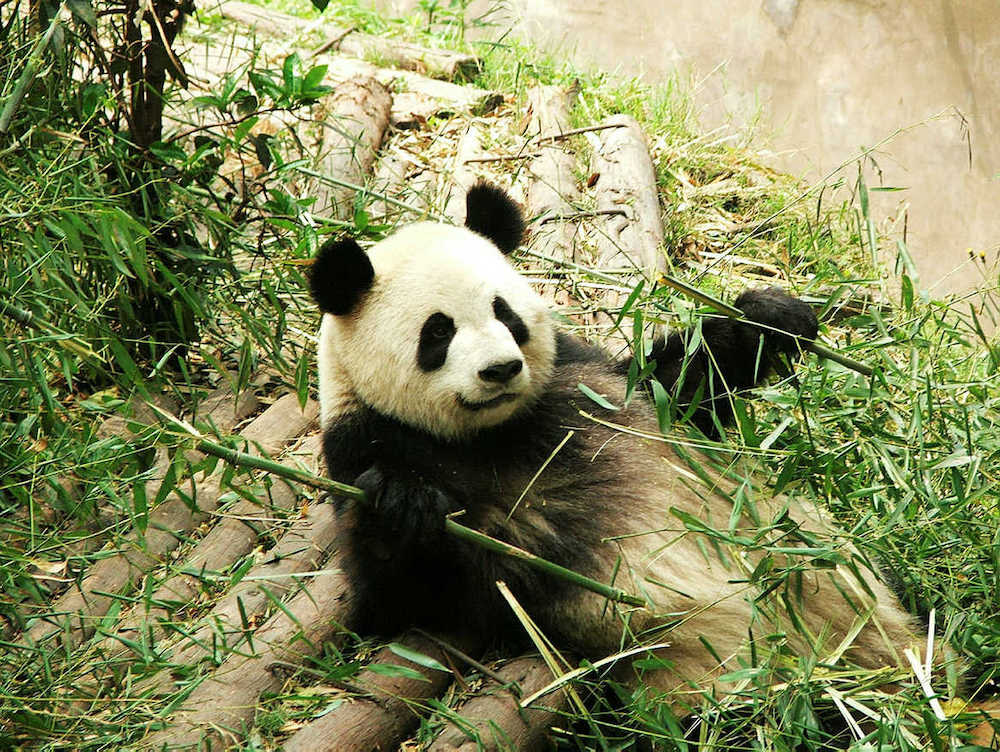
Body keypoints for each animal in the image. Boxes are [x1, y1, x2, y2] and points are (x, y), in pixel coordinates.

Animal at [310, 182, 920, 704]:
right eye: (438, 332)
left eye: (504, 312)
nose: (501, 369)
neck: (491, 429)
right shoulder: (368, 442)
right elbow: (402, 600)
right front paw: (403, 505)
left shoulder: (587, 377)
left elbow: (678, 383)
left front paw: (770, 317)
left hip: (830, 565)